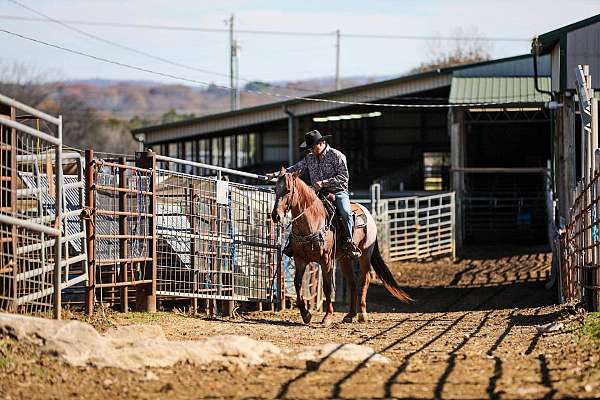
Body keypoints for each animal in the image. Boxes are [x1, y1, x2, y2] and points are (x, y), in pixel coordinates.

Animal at [272, 167, 412, 326]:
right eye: (275, 189)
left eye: (288, 190)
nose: (275, 216)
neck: (312, 221)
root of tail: (368, 213)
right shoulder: (300, 259)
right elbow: (297, 284)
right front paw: (306, 314)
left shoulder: (326, 260)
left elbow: (327, 287)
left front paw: (327, 317)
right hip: (345, 259)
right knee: (352, 282)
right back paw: (350, 315)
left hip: (365, 254)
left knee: (364, 280)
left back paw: (362, 314)